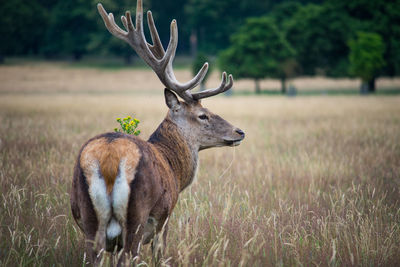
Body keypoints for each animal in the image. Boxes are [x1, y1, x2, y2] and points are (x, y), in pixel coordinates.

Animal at [70, 0, 245, 266]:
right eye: (203, 115)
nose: (239, 131)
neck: (175, 171)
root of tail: (109, 159)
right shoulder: (165, 218)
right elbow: (161, 256)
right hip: (136, 217)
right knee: (129, 256)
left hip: (88, 219)